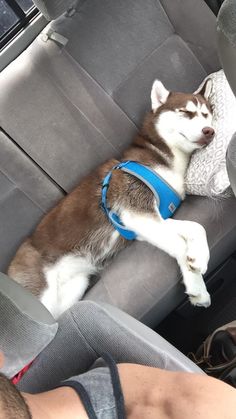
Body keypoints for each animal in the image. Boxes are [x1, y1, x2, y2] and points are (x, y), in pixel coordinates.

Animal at [7, 80, 214, 320]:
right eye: (186, 112)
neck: (162, 158)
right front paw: (197, 283)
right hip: (41, 293)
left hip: (73, 288)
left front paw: (198, 260)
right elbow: (180, 244)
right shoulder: (137, 212)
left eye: (207, 114)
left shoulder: (143, 222)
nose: (210, 131)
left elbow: (196, 227)